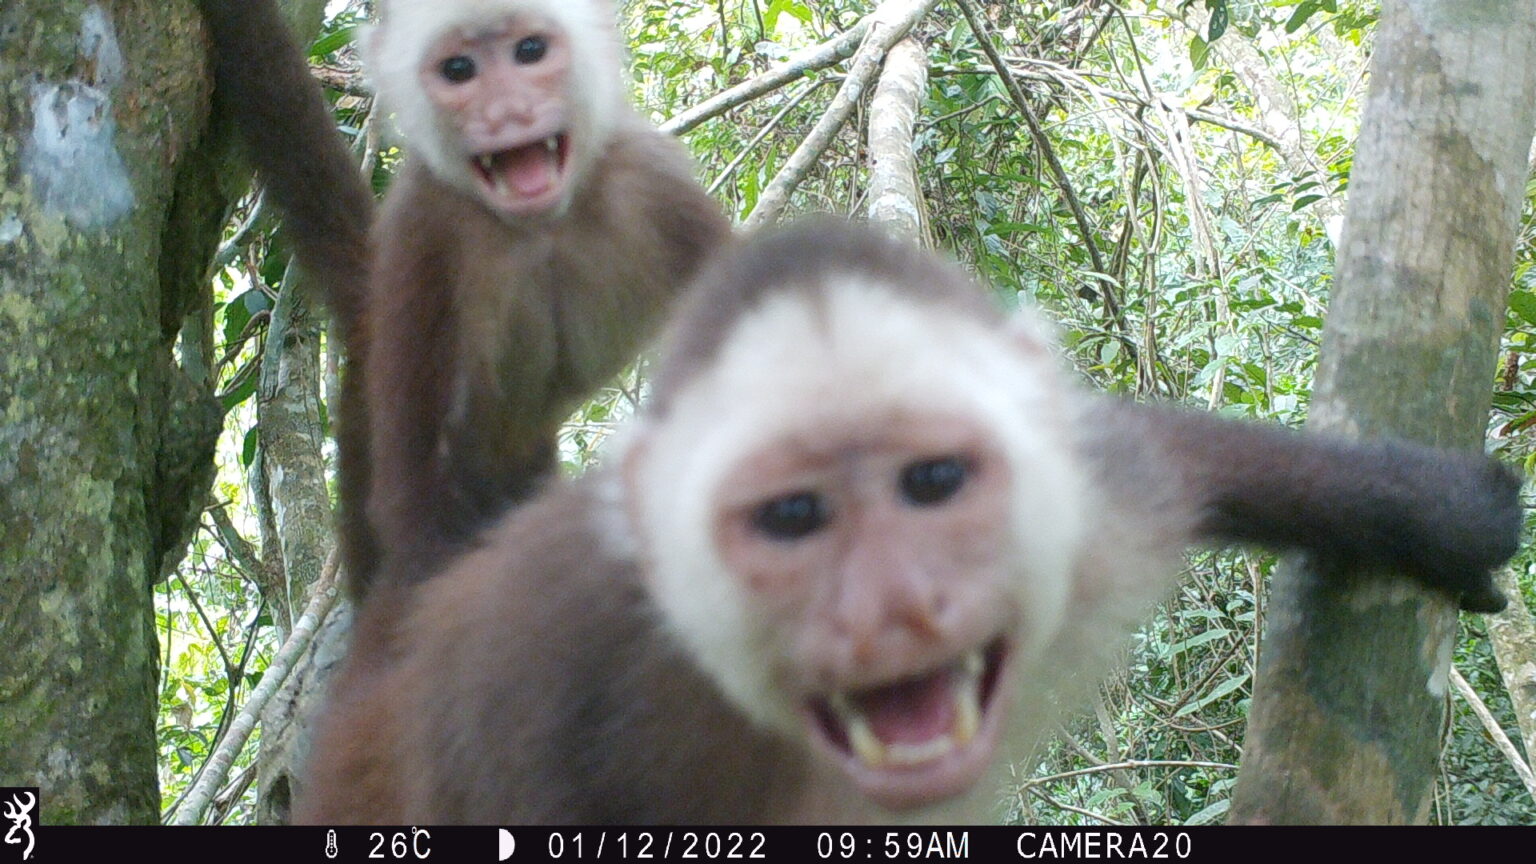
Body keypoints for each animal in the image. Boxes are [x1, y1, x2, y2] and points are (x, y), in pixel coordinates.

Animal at [198, 0, 731, 596]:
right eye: (458, 70)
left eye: (530, 51)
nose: (507, 112)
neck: (540, 228)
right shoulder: (424, 229)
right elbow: (411, 509)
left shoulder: (655, 182)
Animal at [297, 220, 1520, 824]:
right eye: (794, 516)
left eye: (932, 483)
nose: (893, 609)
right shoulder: (545, 699)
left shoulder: (1094, 496)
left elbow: (1171, 455)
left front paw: (1425, 513)